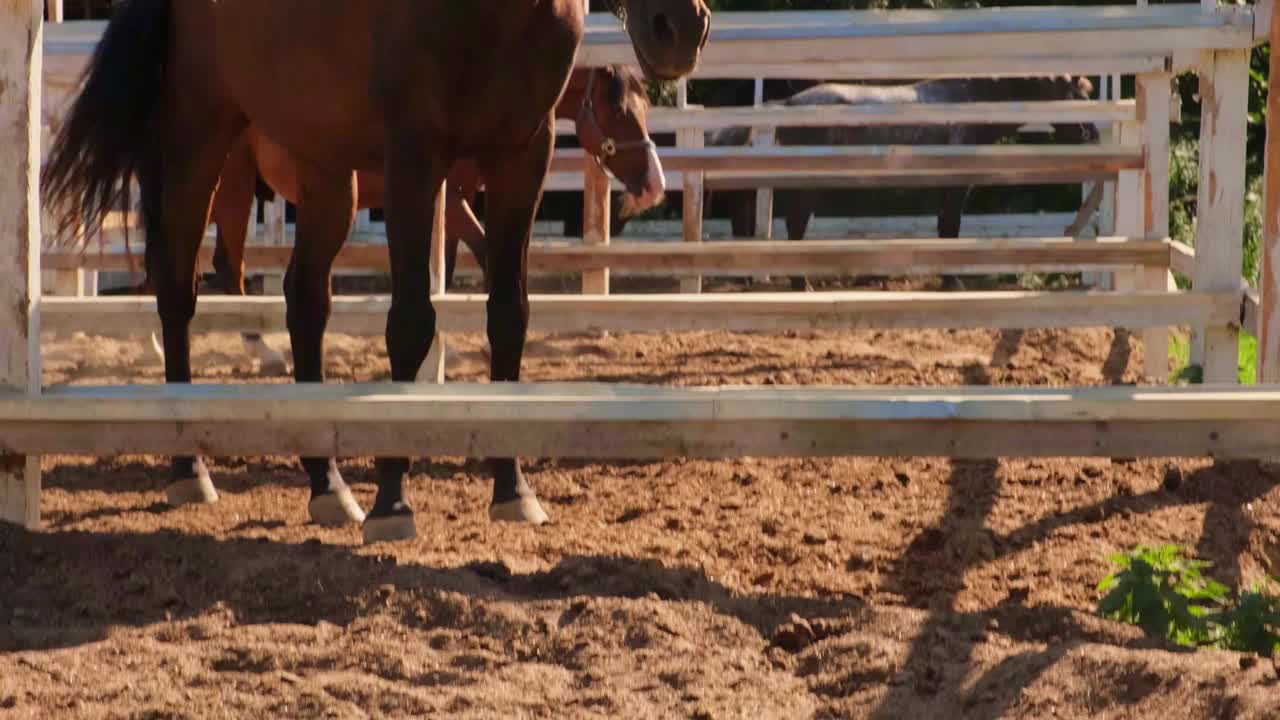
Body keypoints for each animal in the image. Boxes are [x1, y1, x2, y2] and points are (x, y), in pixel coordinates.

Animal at [42, 0, 711, 540]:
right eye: (616, 113)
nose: (679, 27)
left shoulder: (523, 154)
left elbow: (508, 314)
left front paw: (512, 487)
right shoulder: (416, 158)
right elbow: (412, 321)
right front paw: (393, 500)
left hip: (324, 169)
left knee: (303, 301)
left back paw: (327, 484)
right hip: (201, 141)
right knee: (182, 287)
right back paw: (190, 466)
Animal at [706, 77, 1095, 288]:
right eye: (1077, 94)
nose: (1091, 132)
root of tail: (790, 103)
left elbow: (944, 228)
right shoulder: (957, 187)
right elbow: (951, 229)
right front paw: (952, 281)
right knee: (796, 228)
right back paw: (803, 285)